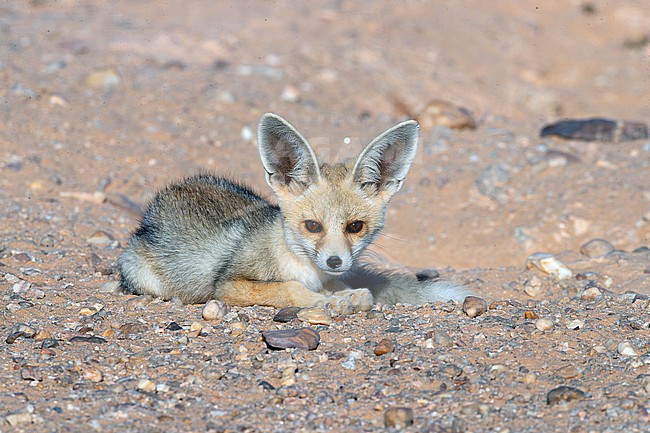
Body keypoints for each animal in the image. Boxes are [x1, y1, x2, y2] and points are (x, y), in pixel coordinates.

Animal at [118, 113, 471, 314]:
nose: (335, 262)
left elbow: (350, 290)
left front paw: (345, 297)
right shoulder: (230, 284)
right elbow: (288, 289)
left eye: (355, 226)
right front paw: (325, 303)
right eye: (312, 226)